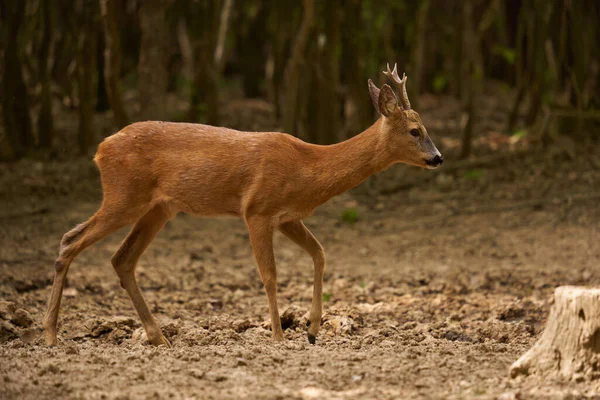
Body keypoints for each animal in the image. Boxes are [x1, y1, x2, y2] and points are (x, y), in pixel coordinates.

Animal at [43, 63, 440, 346]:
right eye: (415, 131)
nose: (438, 158)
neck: (307, 169)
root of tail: (100, 149)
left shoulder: (287, 216)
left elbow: (320, 253)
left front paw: (312, 330)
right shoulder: (257, 210)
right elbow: (270, 275)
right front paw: (278, 336)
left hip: (160, 207)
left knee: (121, 258)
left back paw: (160, 339)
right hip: (123, 194)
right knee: (70, 239)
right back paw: (50, 335)